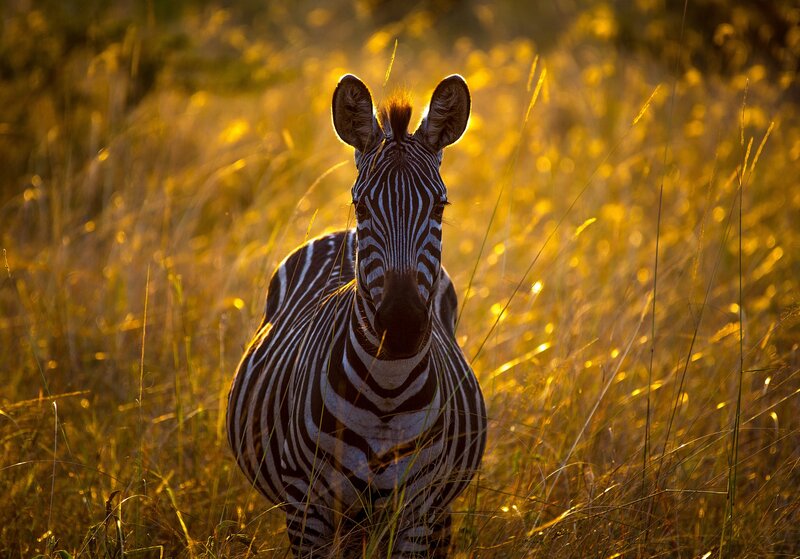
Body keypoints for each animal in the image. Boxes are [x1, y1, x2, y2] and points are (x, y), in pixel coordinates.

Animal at [227, 74, 487, 558]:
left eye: (439, 207)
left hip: (431, 510)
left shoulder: (416, 511)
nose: (401, 326)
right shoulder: (307, 509)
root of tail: (339, 234)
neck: (386, 391)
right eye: (363, 206)